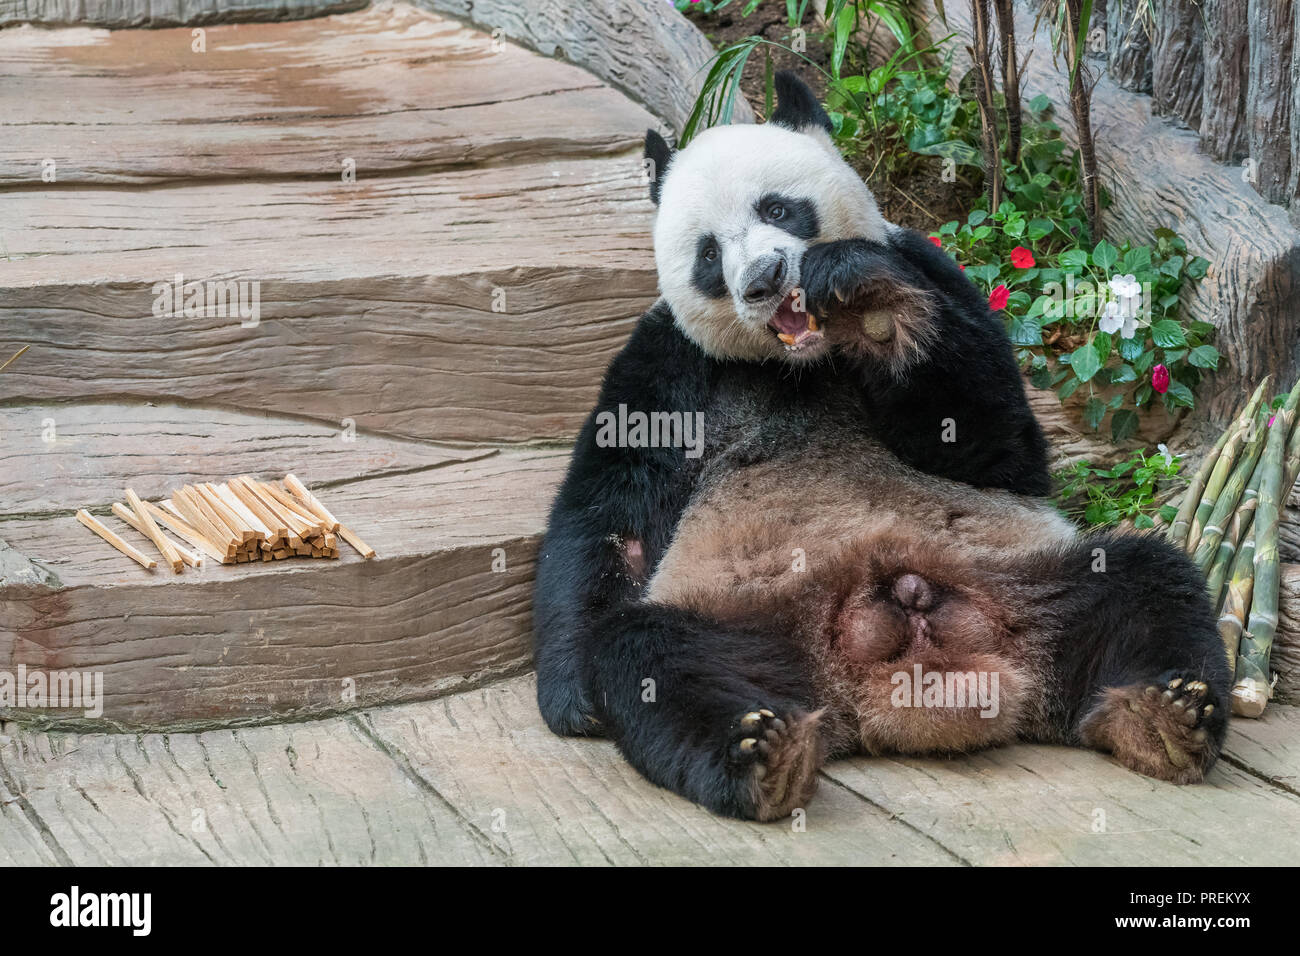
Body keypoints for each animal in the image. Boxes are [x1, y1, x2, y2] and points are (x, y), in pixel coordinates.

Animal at [530, 74, 1227, 822]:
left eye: (779, 208)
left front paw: (874, 309)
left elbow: (995, 449)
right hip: (747, 624)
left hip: (1028, 581)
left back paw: (1162, 716)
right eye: (710, 255)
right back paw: (759, 751)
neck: (799, 364)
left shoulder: (932, 270)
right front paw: (574, 702)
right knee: (649, 659)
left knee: (1148, 581)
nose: (764, 278)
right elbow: (612, 506)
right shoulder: (671, 362)